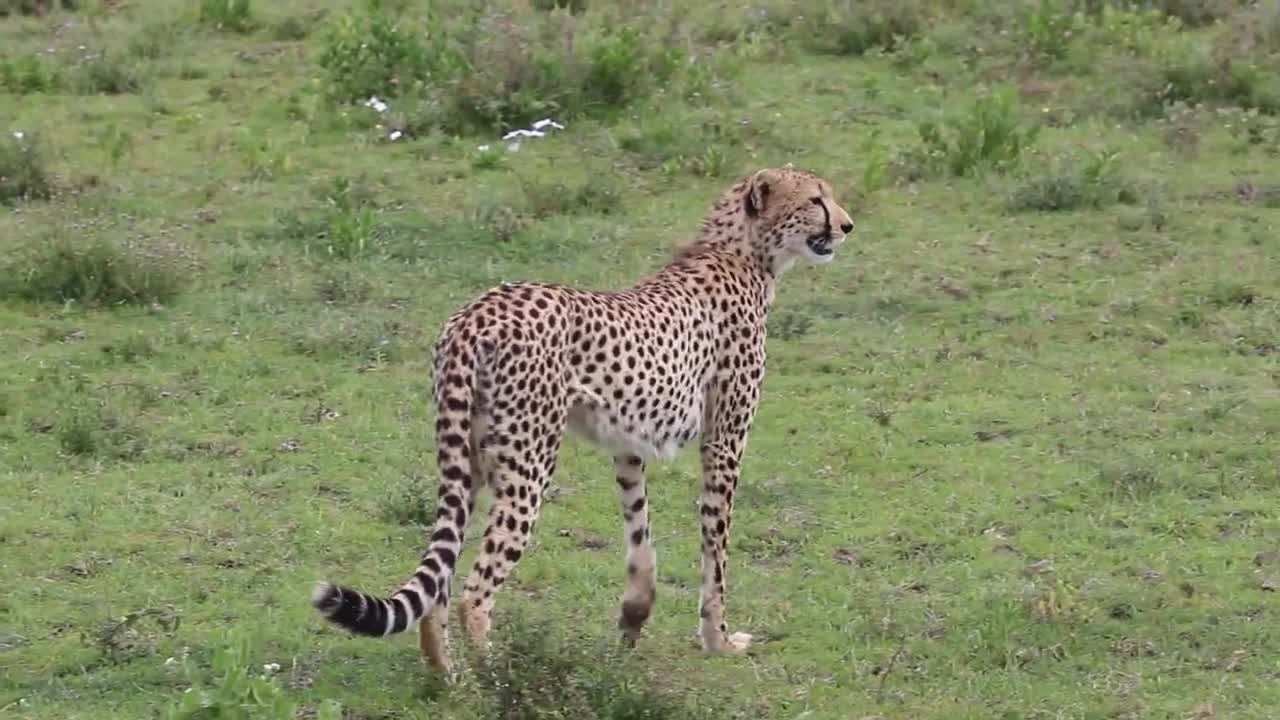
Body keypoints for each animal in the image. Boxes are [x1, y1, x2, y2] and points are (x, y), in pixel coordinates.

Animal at [308, 165, 849, 671]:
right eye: (815, 199)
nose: (846, 225)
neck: (741, 253)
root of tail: (476, 313)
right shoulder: (725, 440)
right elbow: (715, 548)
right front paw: (718, 640)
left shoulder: (628, 444)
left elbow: (640, 536)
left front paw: (633, 620)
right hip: (527, 462)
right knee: (474, 592)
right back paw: (492, 678)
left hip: (467, 460)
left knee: (438, 582)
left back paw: (446, 679)